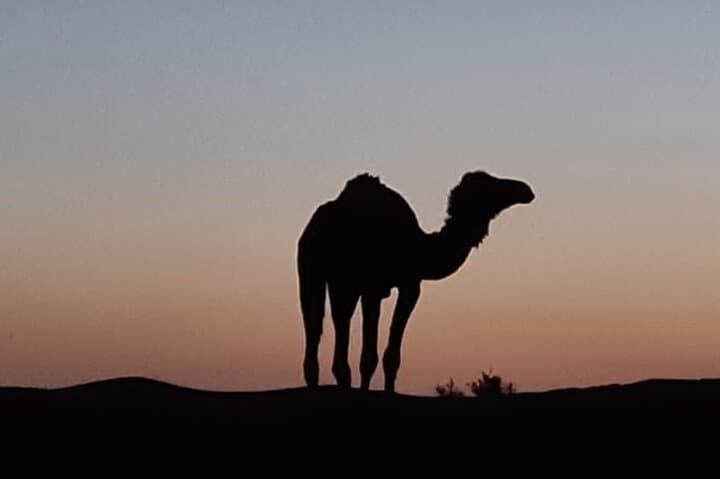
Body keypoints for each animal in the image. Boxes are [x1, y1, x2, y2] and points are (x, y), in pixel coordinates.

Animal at [297, 171, 534, 392]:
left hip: (334, 281)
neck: (417, 247)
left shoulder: (397, 286)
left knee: (330, 325)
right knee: (321, 327)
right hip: (319, 277)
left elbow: (385, 358)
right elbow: (373, 358)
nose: (525, 190)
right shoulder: (383, 286)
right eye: (488, 185)